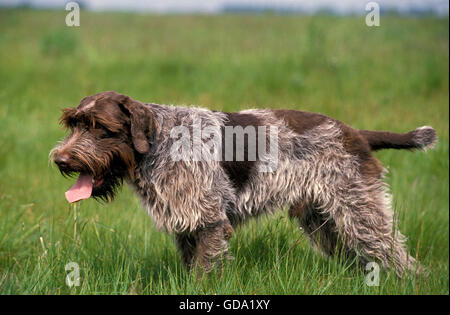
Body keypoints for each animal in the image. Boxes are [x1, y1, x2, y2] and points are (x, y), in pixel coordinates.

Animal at [49, 90, 436, 276]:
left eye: (100, 127)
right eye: (74, 123)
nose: (61, 160)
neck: (160, 142)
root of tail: (355, 133)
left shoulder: (208, 222)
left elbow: (204, 271)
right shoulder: (188, 225)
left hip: (360, 213)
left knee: (399, 256)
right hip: (323, 219)